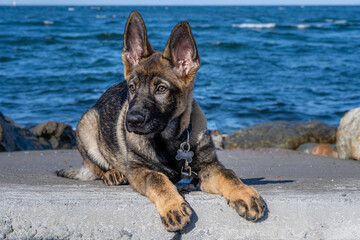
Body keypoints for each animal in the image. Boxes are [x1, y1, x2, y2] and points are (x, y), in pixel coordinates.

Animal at [57, 10, 262, 231]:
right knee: (94, 165)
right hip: (87, 124)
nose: (132, 120)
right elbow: (157, 178)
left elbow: (229, 174)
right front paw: (173, 206)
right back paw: (112, 173)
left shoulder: (209, 167)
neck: (169, 139)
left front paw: (245, 193)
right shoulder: (139, 170)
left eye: (161, 89)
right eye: (132, 87)